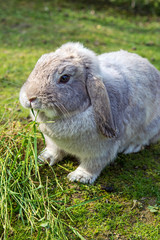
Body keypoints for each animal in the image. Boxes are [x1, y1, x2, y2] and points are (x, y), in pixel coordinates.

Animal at [19, 42, 160, 184]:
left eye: (64, 78)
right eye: (37, 66)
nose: (29, 97)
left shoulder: (101, 152)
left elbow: (92, 165)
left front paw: (79, 177)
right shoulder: (53, 142)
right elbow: (54, 150)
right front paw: (44, 158)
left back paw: (132, 147)